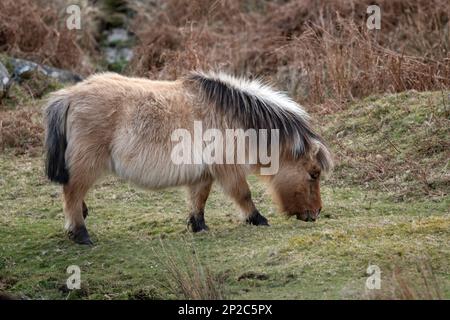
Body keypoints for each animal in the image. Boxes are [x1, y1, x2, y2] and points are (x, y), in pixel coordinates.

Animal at [44, 71, 332, 244]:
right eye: (314, 174)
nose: (316, 212)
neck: (233, 117)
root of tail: (68, 96)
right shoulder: (228, 169)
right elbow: (243, 194)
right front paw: (257, 219)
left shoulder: (203, 174)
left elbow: (199, 199)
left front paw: (199, 226)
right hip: (87, 165)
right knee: (71, 194)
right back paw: (80, 234)